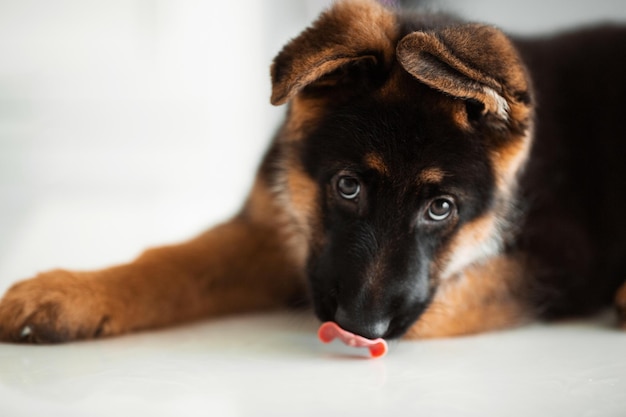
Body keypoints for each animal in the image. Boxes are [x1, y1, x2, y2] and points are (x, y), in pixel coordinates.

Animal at [1, 0, 624, 342]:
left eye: (441, 207)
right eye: (347, 187)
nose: (361, 328)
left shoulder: (558, 260)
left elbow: (447, 303)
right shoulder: (273, 230)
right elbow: (175, 262)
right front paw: (70, 294)